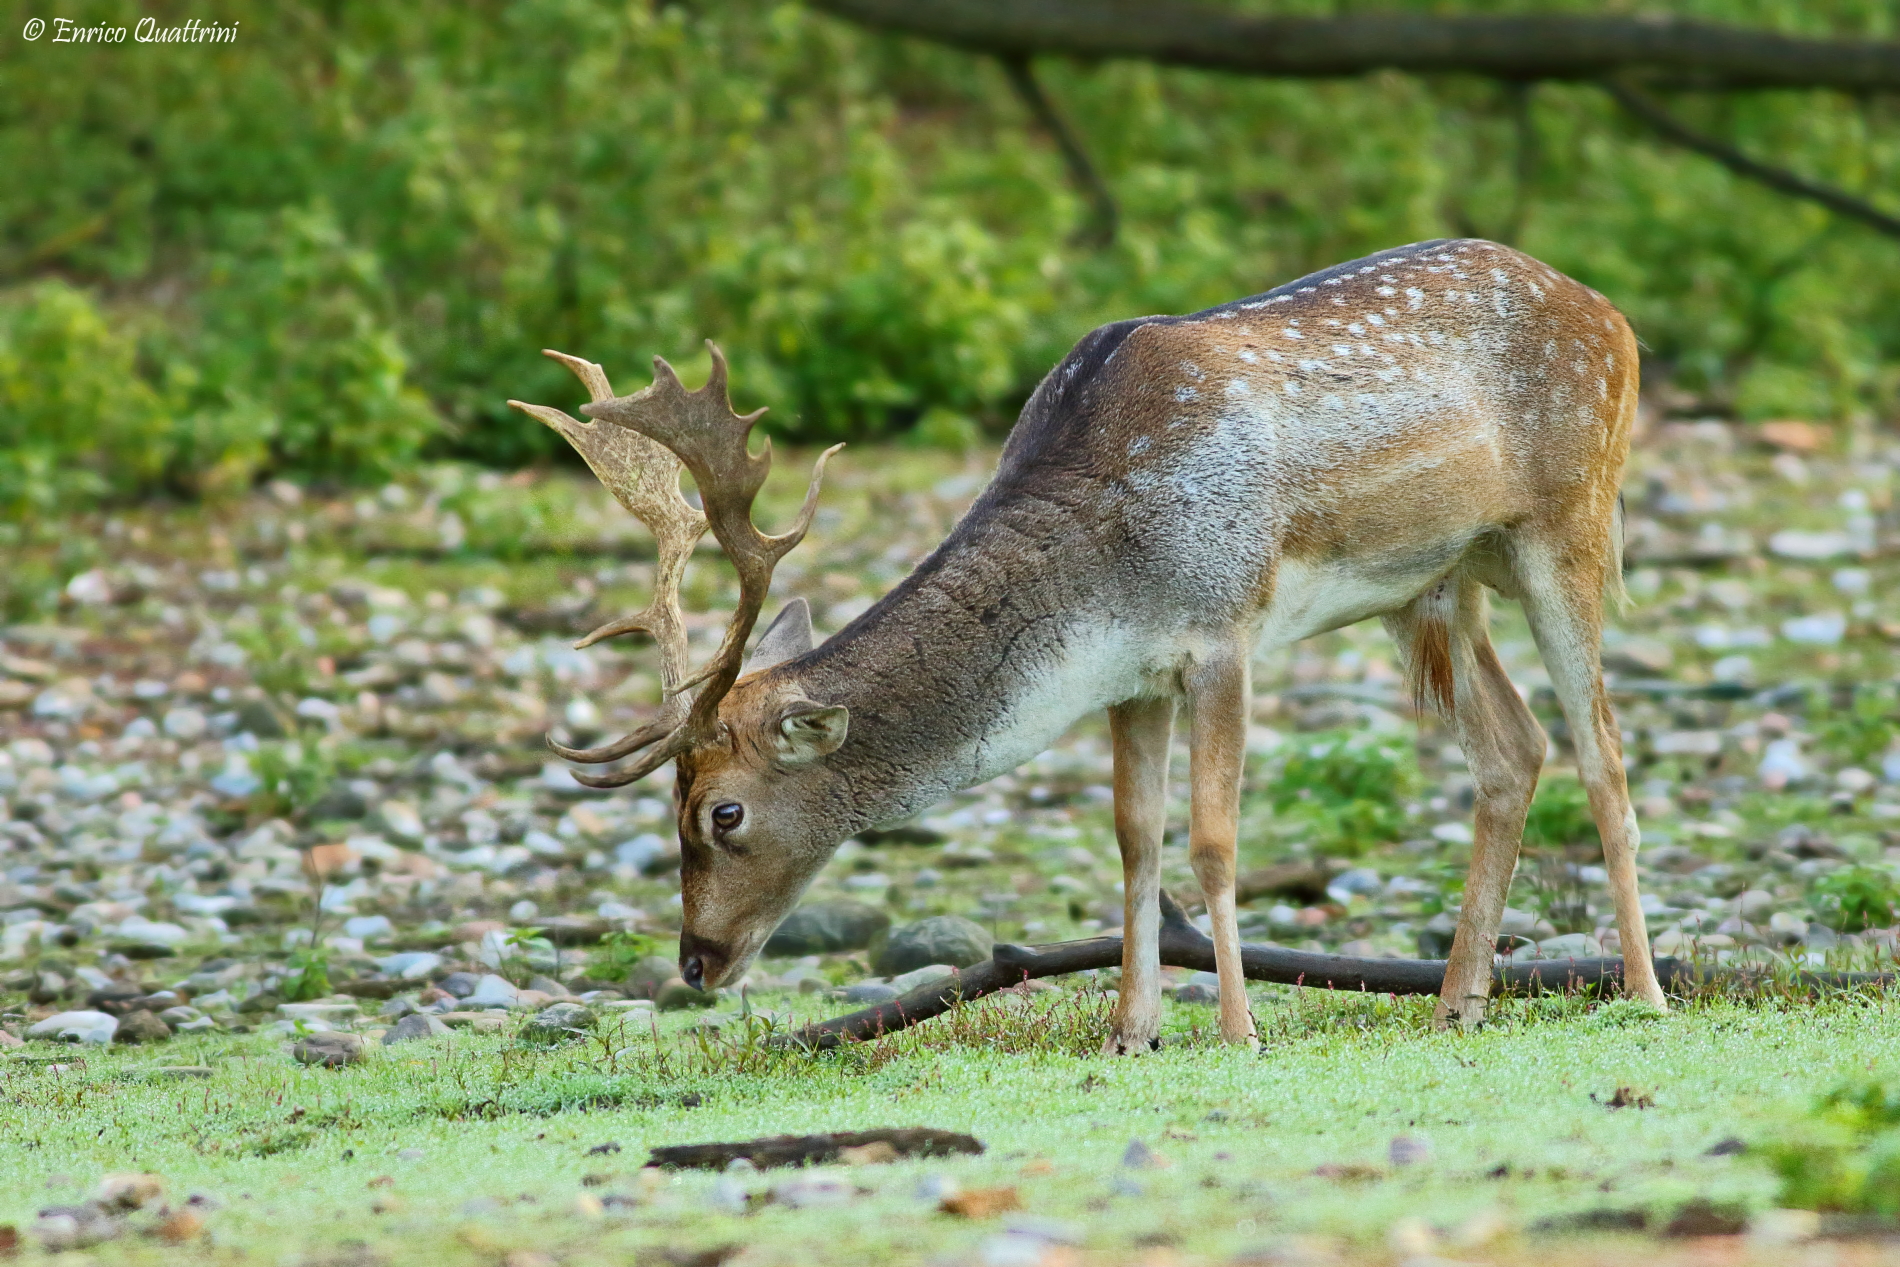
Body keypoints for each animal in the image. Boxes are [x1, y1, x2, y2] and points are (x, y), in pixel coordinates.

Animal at [508, 237, 1666, 1054]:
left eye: (723, 812)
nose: (696, 963)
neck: (1103, 577)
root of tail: (1615, 316)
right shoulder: (1133, 676)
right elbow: (1133, 836)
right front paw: (1130, 1028)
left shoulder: (1221, 627)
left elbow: (1212, 840)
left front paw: (1237, 1028)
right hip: (1436, 584)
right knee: (1514, 747)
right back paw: (1458, 1002)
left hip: (1568, 517)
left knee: (1604, 751)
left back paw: (1644, 991)